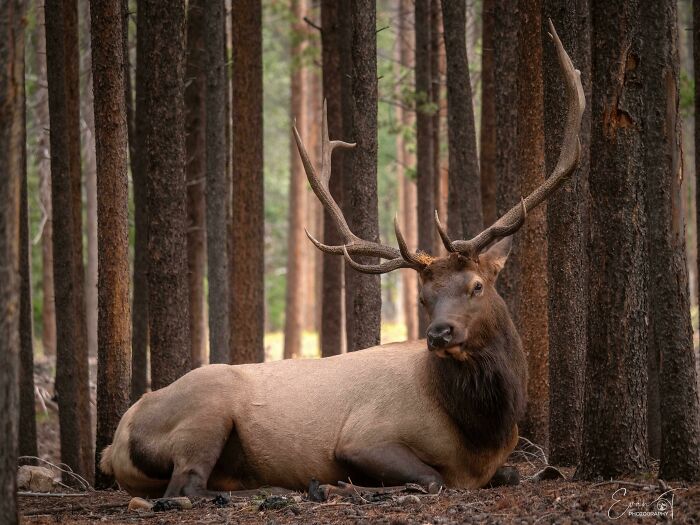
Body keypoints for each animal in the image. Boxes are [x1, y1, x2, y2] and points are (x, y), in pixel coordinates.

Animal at [99, 20, 584, 500]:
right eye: (424, 297)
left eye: (477, 286)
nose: (438, 333)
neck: (482, 435)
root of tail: (113, 443)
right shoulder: (362, 437)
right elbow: (432, 478)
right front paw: (355, 485)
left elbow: (513, 473)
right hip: (205, 409)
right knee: (182, 487)